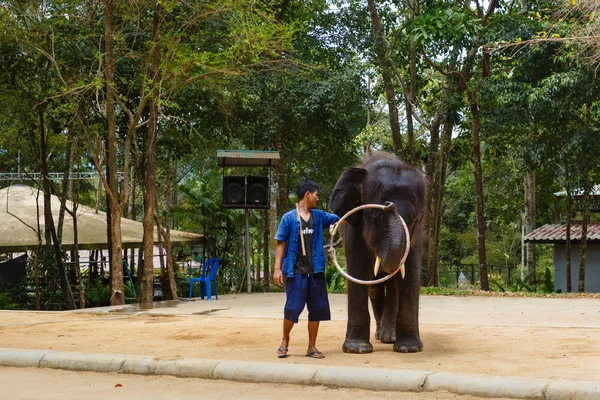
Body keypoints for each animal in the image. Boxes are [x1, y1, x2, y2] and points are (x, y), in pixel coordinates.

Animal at [328, 152, 426, 354]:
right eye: (375, 218)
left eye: (416, 220)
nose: (389, 205)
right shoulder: (354, 225)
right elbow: (358, 270)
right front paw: (357, 349)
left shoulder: (417, 234)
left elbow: (411, 272)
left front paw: (409, 348)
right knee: (374, 288)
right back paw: (381, 335)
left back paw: (389, 337)